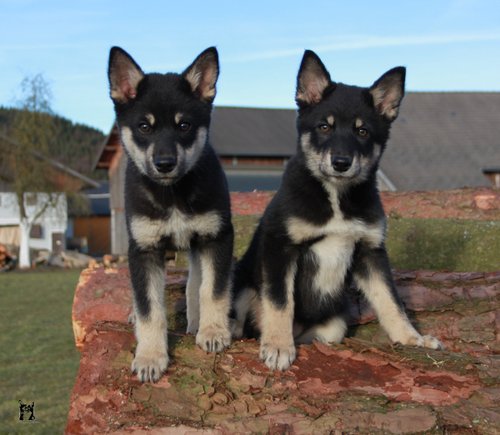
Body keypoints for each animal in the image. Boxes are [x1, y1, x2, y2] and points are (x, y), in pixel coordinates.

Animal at [108, 46, 233, 382]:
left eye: (184, 125)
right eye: (144, 126)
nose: (164, 164)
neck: (173, 193)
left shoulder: (216, 237)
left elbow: (212, 290)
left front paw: (213, 331)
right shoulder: (143, 248)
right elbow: (150, 309)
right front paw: (151, 357)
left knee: (196, 283)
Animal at [232, 50, 442, 370]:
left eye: (363, 131)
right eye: (324, 126)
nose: (341, 162)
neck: (336, 196)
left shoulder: (370, 250)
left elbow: (391, 300)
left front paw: (412, 338)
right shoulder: (280, 246)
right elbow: (280, 301)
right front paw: (278, 346)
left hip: (334, 324)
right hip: (244, 284)